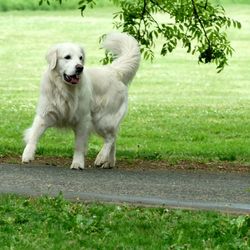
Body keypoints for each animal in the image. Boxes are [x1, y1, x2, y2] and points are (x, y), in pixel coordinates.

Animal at [21, 32, 141, 170]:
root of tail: (114, 71)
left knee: (110, 138)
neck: (65, 90)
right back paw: (109, 162)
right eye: (67, 57)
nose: (80, 67)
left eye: (80, 58)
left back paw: (101, 157)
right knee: (114, 138)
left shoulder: (82, 120)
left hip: (102, 119)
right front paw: (27, 155)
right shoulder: (45, 114)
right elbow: (34, 135)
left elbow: (79, 145)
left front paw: (77, 163)